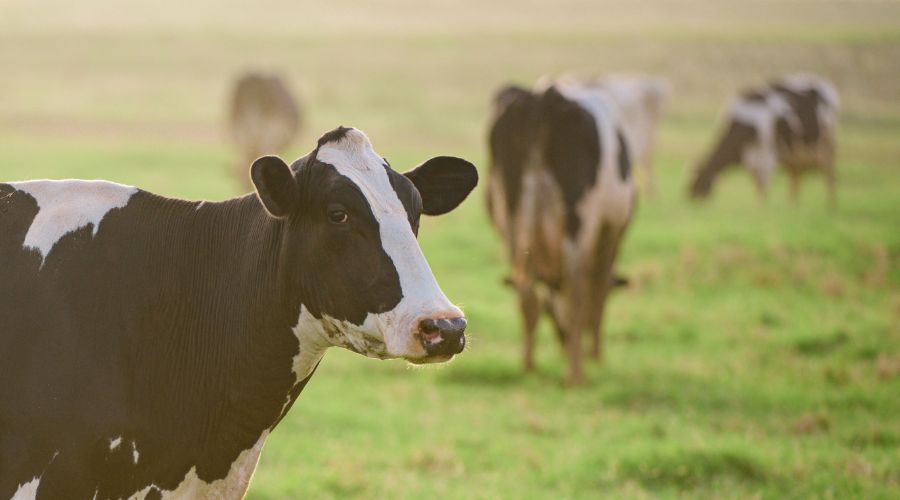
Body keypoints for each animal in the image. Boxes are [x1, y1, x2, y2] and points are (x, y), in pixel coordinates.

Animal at [487, 79, 636, 385]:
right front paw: (595, 355)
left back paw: (529, 366)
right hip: (578, 223)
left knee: (527, 295)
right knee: (576, 292)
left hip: (512, 224)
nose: (563, 340)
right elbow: (597, 294)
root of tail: (545, 97)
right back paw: (576, 375)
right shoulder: (611, 233)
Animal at [689, 74, 839, 206]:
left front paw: (761, 209)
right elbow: (758, 183)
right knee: (796, 178)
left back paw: (830, 205)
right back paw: (793, 206)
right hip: (798, 154)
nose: (689, 200)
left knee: (829, 176)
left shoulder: (767, 153)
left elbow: (763, 184)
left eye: (698, 184)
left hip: (826, 146)